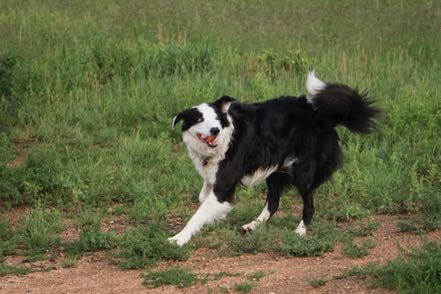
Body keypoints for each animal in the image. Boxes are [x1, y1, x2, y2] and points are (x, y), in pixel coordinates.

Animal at [167, 73, 380, 246]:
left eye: (218, 120)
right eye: (199, 120)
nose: (215, 130)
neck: (224, 141)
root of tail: (324, 115)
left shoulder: (224, 184)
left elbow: (198, 214)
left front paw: (179, 238)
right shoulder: (214, 177)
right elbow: (203, 197)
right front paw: (218, 217)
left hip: (302, 172)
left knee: (309, 205)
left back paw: (300, 230)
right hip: (275, 170)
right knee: (274, 202)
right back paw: (254, 225)